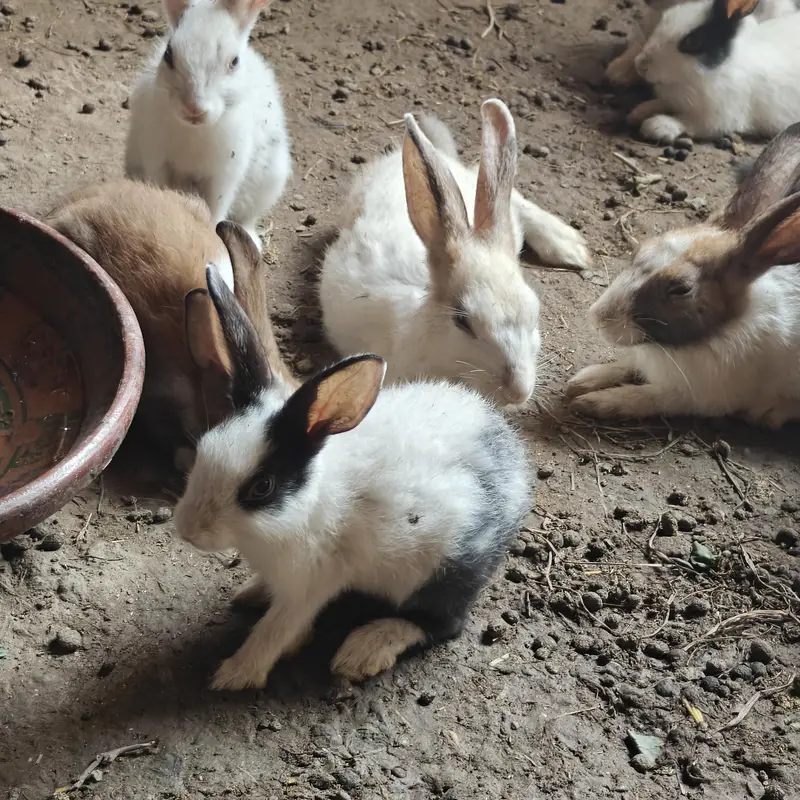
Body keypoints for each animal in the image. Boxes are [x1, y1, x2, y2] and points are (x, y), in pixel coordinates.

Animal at [124, 0, 291, 248]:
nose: (194, 108)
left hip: (268, 183)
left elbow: (217, 207)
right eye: (168, 54)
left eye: (234, 62)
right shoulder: (157, 161)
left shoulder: (223, 176)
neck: (194, 131)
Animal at [173, 265, 531, 691]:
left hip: (443, 572)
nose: (187, 531)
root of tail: (516, 467)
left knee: (443, 624)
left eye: (262, 487)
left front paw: (235, 674)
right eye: (205, 447)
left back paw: (363, 650)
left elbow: (275, 629)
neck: (306, 503)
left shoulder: (310, 583)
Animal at [565, 122, 800, 428]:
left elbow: (648, 397)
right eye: (642, 248)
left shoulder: (694, 397)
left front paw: (596, 402)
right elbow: (626, 363)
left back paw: (769, 412)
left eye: (680, 289)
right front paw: (584, 380)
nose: (597, 320)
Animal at [627, 0, 800, 143]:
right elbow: (660, 102)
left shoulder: (717, 118)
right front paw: (637, 112)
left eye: (693, 42)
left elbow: (686, 123)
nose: (640, 64)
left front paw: (656, 126)